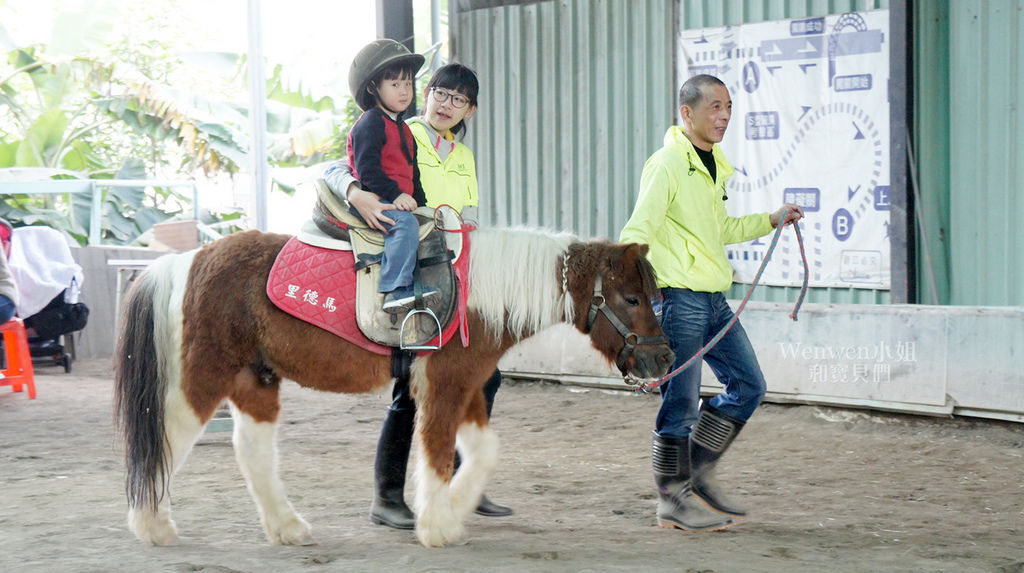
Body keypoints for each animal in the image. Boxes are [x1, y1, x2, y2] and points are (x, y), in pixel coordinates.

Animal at [114, 226, 671, 548]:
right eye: (630, 298)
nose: (663, 358)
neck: (479, 294)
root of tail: (189, 260)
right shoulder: (445, 384)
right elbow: (437, 453)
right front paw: (437, 526)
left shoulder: (468, 386)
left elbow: (483, 451)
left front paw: (455, 509)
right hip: (205, 375)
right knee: (166, 434)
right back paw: (152, 526)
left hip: (256, 378)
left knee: (251, 450)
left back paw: (287, 527)